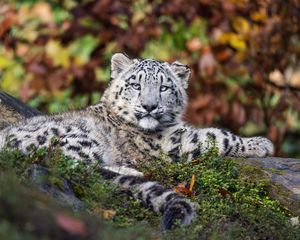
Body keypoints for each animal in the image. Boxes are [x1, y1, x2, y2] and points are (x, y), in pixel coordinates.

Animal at [0, 53, 274, 230]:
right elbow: (217, 136)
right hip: (77, 137)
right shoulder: (174, 142)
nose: (149, 106)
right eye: (135, 84)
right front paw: (261, 143)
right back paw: (132, 171)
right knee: (74, 166)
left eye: (164, 87)